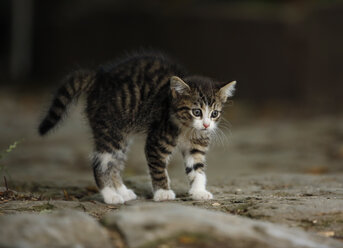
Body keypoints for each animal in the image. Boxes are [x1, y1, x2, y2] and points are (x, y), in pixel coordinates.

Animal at [37, 51, 236, 203]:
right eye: (196, 112)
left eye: (214, 114)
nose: (206, 124)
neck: (188, 128)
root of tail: (100, 78)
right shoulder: (157, 141)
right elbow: (158, 169)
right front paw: (163, 192)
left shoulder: (197, 146)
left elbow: (197, 168)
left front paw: (199, 191)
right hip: (110, 129)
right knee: (100, 162)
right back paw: (110, 196)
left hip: (121, 134)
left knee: (115, 163)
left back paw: (122, 191)